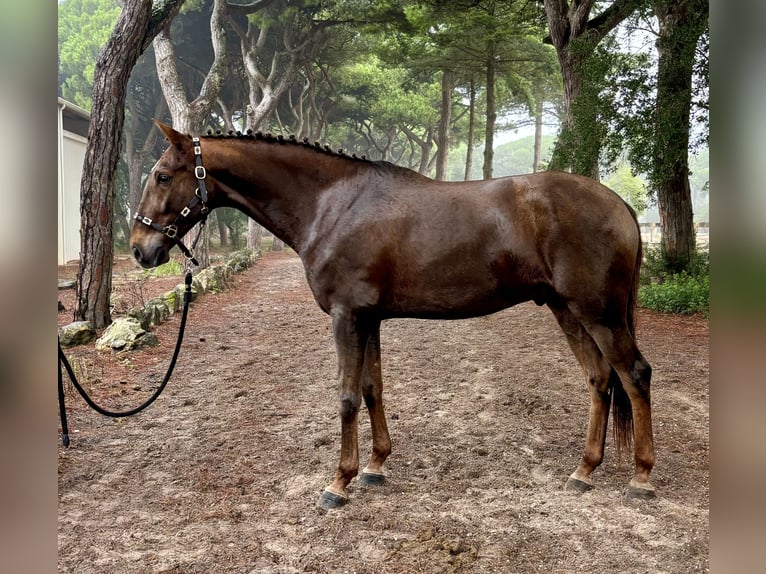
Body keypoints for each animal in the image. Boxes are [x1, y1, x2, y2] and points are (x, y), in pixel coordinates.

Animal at [130, 121, 656, 508]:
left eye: (162, 175)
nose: (140, 249)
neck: (333, 204)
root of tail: (620, 204)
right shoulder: (370, 318)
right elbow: (371, 388)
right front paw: (376, 466)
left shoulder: (346, 316)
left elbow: (346, 395)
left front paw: (339, 483)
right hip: (567, 310)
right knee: (600, 380)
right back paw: (583, 471)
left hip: (599, 313)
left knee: (634, 374)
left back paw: (641, 478)